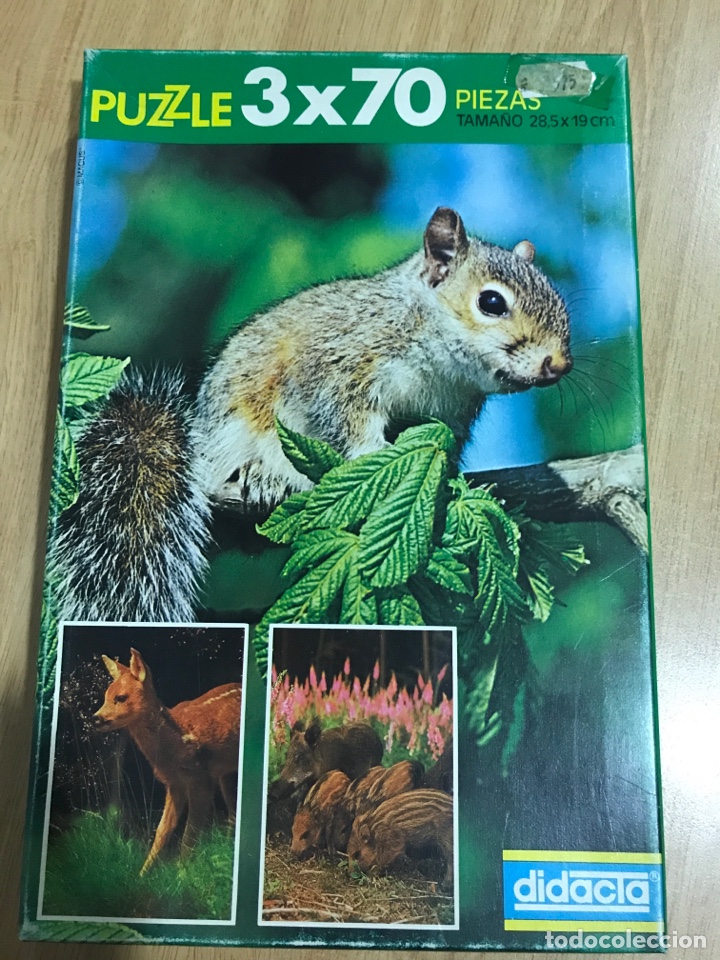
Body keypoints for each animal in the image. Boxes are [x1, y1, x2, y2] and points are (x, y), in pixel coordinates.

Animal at [51, 207, 572, 622]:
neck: (442, 366)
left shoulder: (451, 416)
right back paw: (265, 478)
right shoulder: (339, 366)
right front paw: (373, 452)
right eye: (491, 302)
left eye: (561, 301)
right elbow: (344, 420)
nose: (558, 365)